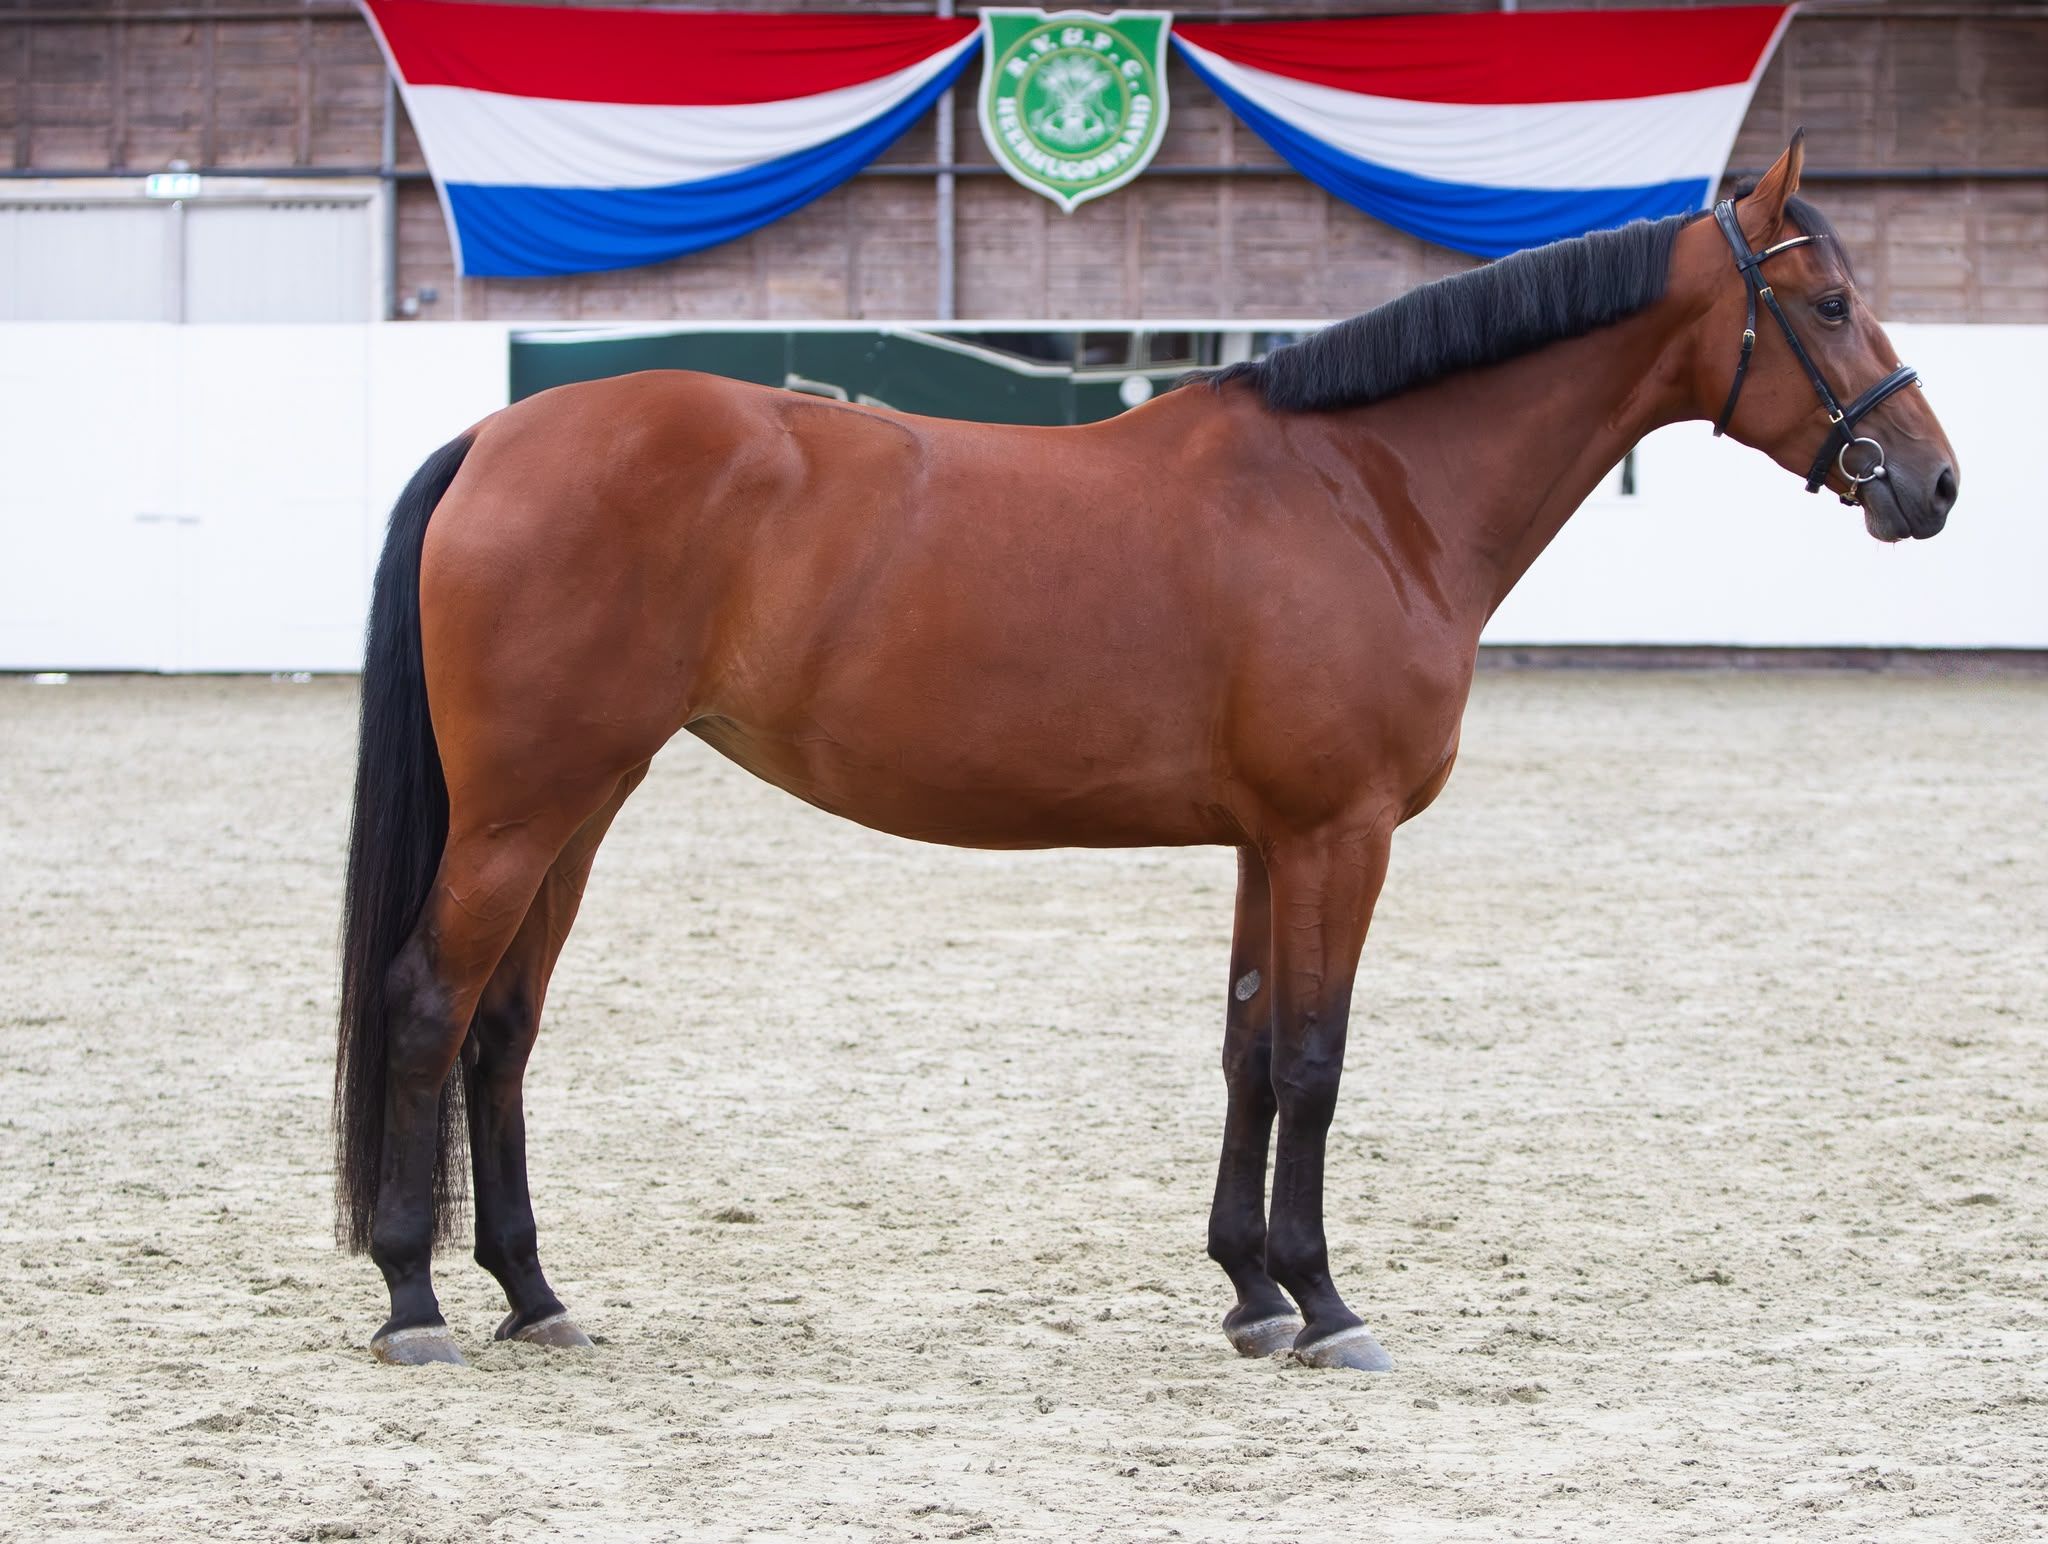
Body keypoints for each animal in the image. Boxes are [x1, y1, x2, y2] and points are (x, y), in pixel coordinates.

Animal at [334, 135, 1958, 1369]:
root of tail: (498, 438)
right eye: (1826, 300)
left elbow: (1246, 1048)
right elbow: (1313, 1059)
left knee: (500, 1026)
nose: (1934, 484)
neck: (1367, 488)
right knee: (426, 1004)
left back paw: (533, 1293)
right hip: (524, 810)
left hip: (579, 802)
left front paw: (1249, 1291)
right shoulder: (1338, 834)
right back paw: (415, 1299)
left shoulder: (1267, 841)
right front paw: (1326, 1303)